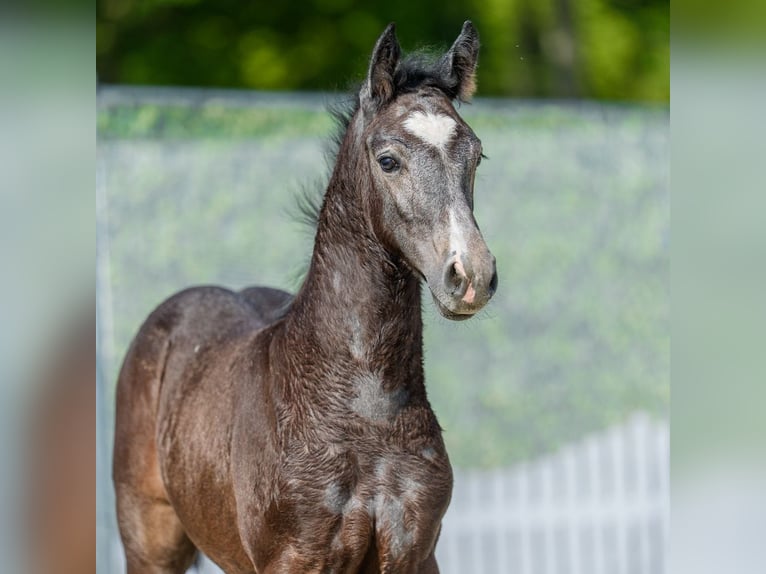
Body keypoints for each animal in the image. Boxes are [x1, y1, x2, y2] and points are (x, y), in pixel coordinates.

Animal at [113, 21, 497, 574]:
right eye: (388, 160)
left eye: (476, 155)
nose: (471, 275)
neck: (365, 415)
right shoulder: (295, 557)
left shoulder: (415, 553)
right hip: (150, 541)